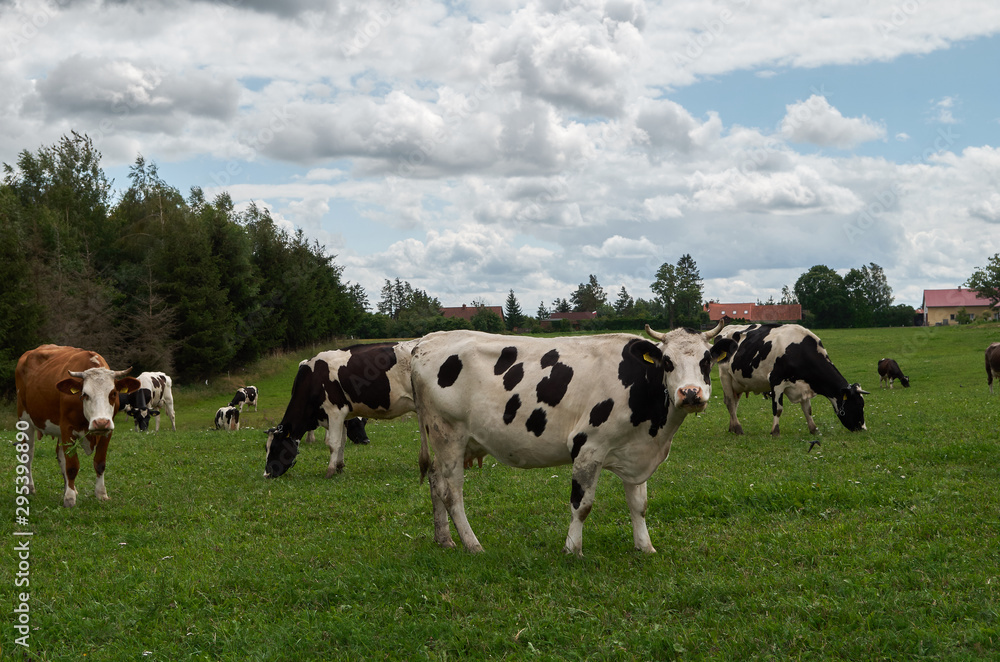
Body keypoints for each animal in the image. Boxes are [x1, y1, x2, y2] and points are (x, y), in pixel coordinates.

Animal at [14, 348, 140, 508]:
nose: (100, 422)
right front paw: (69, 498)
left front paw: (100, 494)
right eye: (85, 394)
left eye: (113, 393)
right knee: (28, 454)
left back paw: (70, 488)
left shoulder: (107, 431)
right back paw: (29, 488)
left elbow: (100, 463)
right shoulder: (67, 428)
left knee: (60, 456)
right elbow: (72, 466)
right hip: (25, 419)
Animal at [264, 344, 416, 480]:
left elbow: (333, 443)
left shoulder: (335, 412)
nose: (266, 474)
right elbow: (342, 442)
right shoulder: (343, 416)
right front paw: (339, 467)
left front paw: (330, 471)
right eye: (266, 449)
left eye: (275, 448)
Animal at [406, 324, 736, 556]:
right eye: (667, 362)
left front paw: (645, 546)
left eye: (707, 360)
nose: (690, 393)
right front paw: (572, 548)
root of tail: (426, 341)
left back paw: (444, 539)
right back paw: (472, 544)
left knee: (435, 481)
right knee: (451, 492)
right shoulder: (589, 447)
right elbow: (582, 504)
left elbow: (639, 505)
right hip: (448, 434)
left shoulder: (636, 453)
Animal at [720, 324, 868, 438]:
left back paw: (732, 427)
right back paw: (738, 429)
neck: (797, 351)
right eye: (858, 404)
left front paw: (814, 430)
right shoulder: (776, 381)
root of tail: (727, 328)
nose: (863, 429)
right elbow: (778, 409)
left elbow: (808, 410)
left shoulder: (804, 386)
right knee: (730, 403)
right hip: (725, 376)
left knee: (734, 403)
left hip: (737, 383)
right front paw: (775, 432)